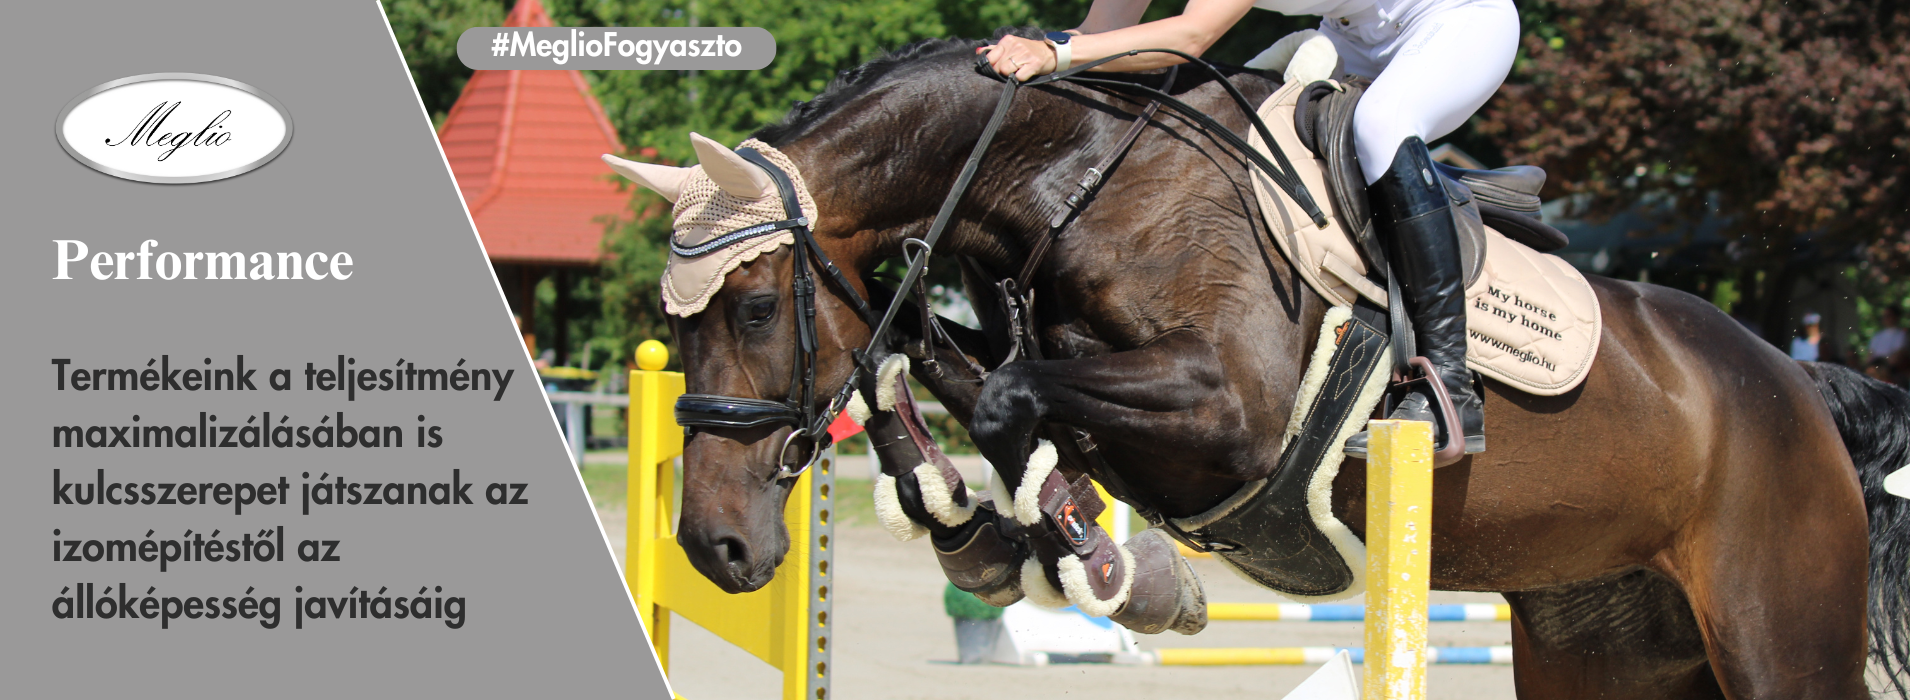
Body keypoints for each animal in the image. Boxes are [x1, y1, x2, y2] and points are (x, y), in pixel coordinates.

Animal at [624, 34, 1910, 699]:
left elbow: (1004, 399)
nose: (715, 548)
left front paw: (1099, 562)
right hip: (1603, 647)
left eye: (752, 306)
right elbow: (925, 362)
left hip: (1778, 640)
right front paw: (993, 535)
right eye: (674, 324)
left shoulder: (1226, 413)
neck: (1074, 182)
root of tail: (1804, 388)